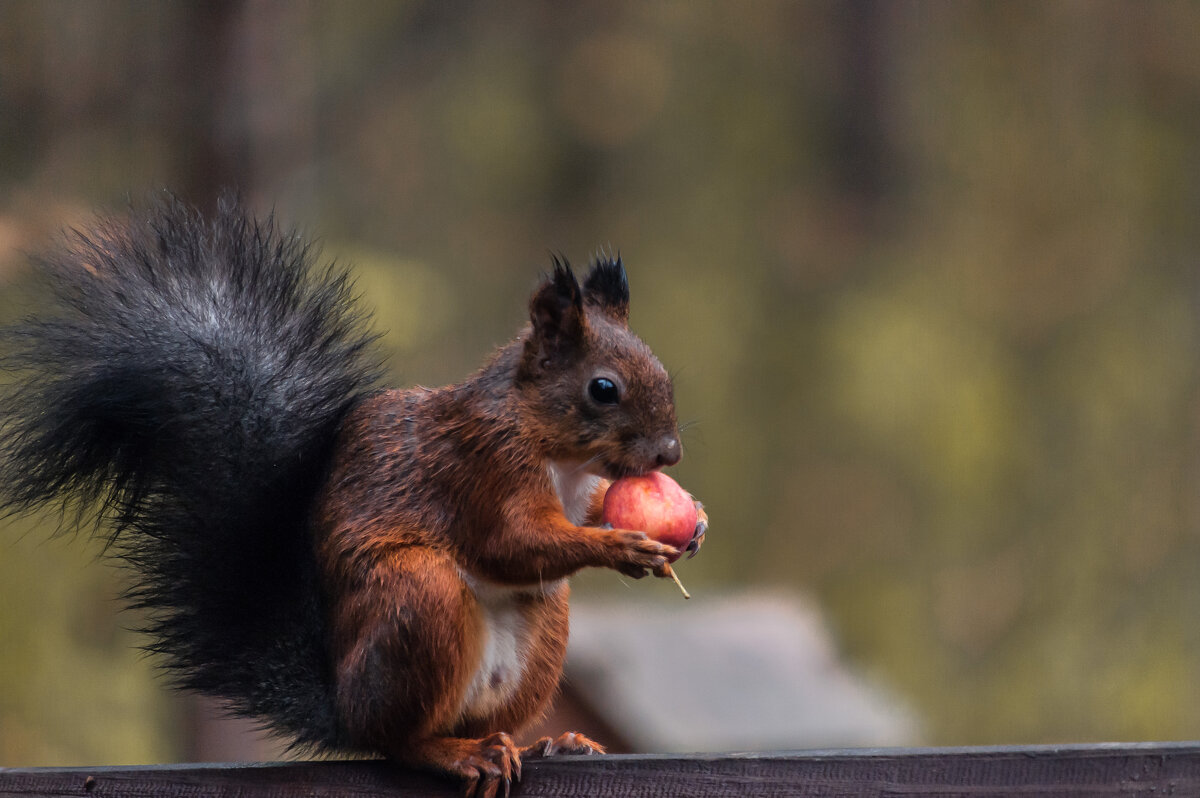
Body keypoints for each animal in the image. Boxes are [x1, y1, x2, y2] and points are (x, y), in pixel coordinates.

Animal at [0, 195, 705, 792]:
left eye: (663, 371)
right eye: (603, 389)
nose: (669, 453)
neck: (557, 452)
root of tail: (342, 707)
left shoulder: (575, 484)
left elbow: (578, 512)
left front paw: (692, 523)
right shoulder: (480, 467)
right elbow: (510, 543)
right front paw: (619, 546)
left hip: (538, 628)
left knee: (481, 718)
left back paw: (543, 744)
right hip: (417, 599)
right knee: (400, 741)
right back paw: (456, 754)